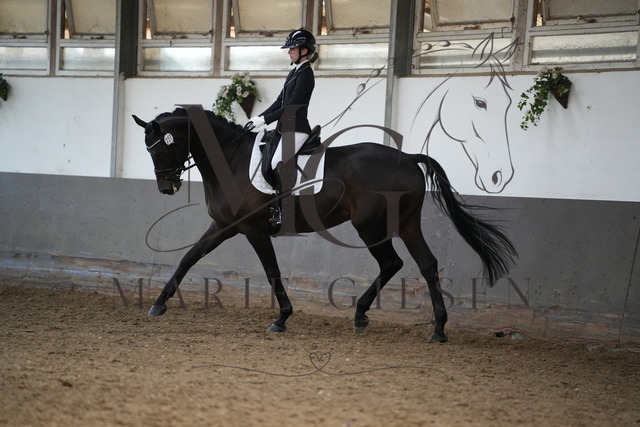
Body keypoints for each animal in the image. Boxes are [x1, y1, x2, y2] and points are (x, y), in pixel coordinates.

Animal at [132, 106, 517, 342]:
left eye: (158, 150)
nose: (166, 187)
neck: (231, 159)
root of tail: (408, 157)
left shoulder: (254, 230)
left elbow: (271, 271)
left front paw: (282, 318)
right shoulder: (225, 226)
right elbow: (188, 258)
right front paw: (159, 304)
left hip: (370, 226)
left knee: (393, 263)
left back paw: (370, 316)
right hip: (405, 223)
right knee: (425, 264)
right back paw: (433, 328)